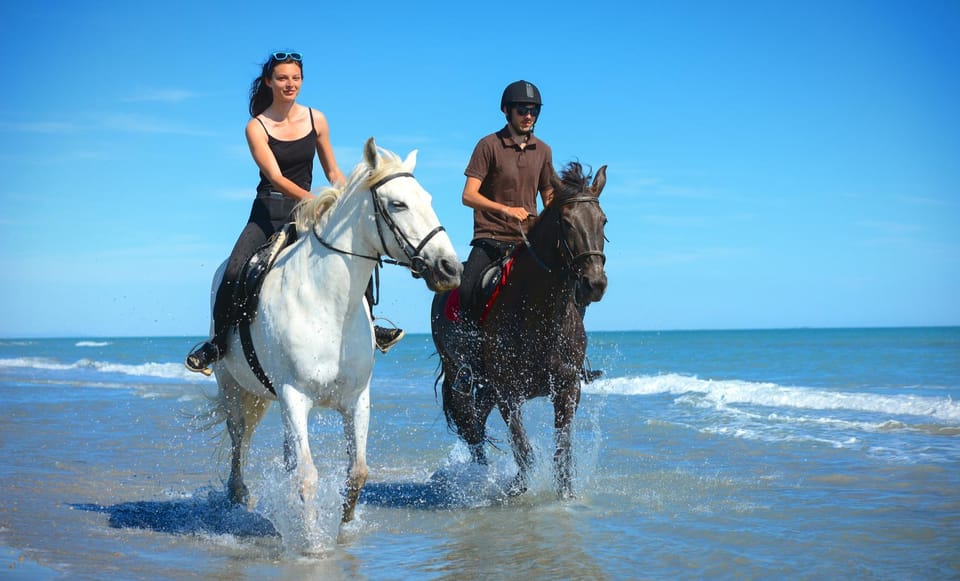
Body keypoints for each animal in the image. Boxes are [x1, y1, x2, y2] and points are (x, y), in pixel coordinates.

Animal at [204, 137, 461, 533]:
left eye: (429, 199)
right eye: (398, 204)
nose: (450, 268)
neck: (328, 305)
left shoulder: (356, 399)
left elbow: (357, 472)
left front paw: (344, 528)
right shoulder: (294, 396)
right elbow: (308, 477)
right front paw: (312, 538)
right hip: (233, 388)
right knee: (238, 440)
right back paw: (239, 498)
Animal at [431, 161, 607, 499]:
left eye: (603, 221)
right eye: (567, 223)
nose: (595, 283)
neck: (540, 315)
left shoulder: (567, 388)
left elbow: (562, 450)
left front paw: (565, 494)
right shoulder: (508, 392)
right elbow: (523, 448)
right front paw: (517, 489)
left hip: (487, 388)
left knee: (477, 422)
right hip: (463, 374)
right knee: (472, 429)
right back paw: (478, 477)